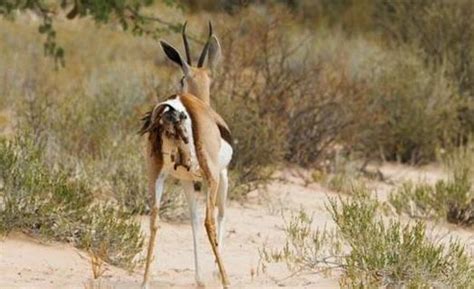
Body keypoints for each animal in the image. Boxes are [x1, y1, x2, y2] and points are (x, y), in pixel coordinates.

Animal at [141, 22, 231, 288]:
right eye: (183, 77)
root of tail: (176, 105)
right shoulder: (222, 174)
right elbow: (220, 215)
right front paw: (211, 274)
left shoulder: (185, 179)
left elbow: (191, 218)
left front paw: (200, 278)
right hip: (212, 177)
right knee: (209, 220)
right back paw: (226, 280)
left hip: (156, 175)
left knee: (155, 220)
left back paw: (145, 282)